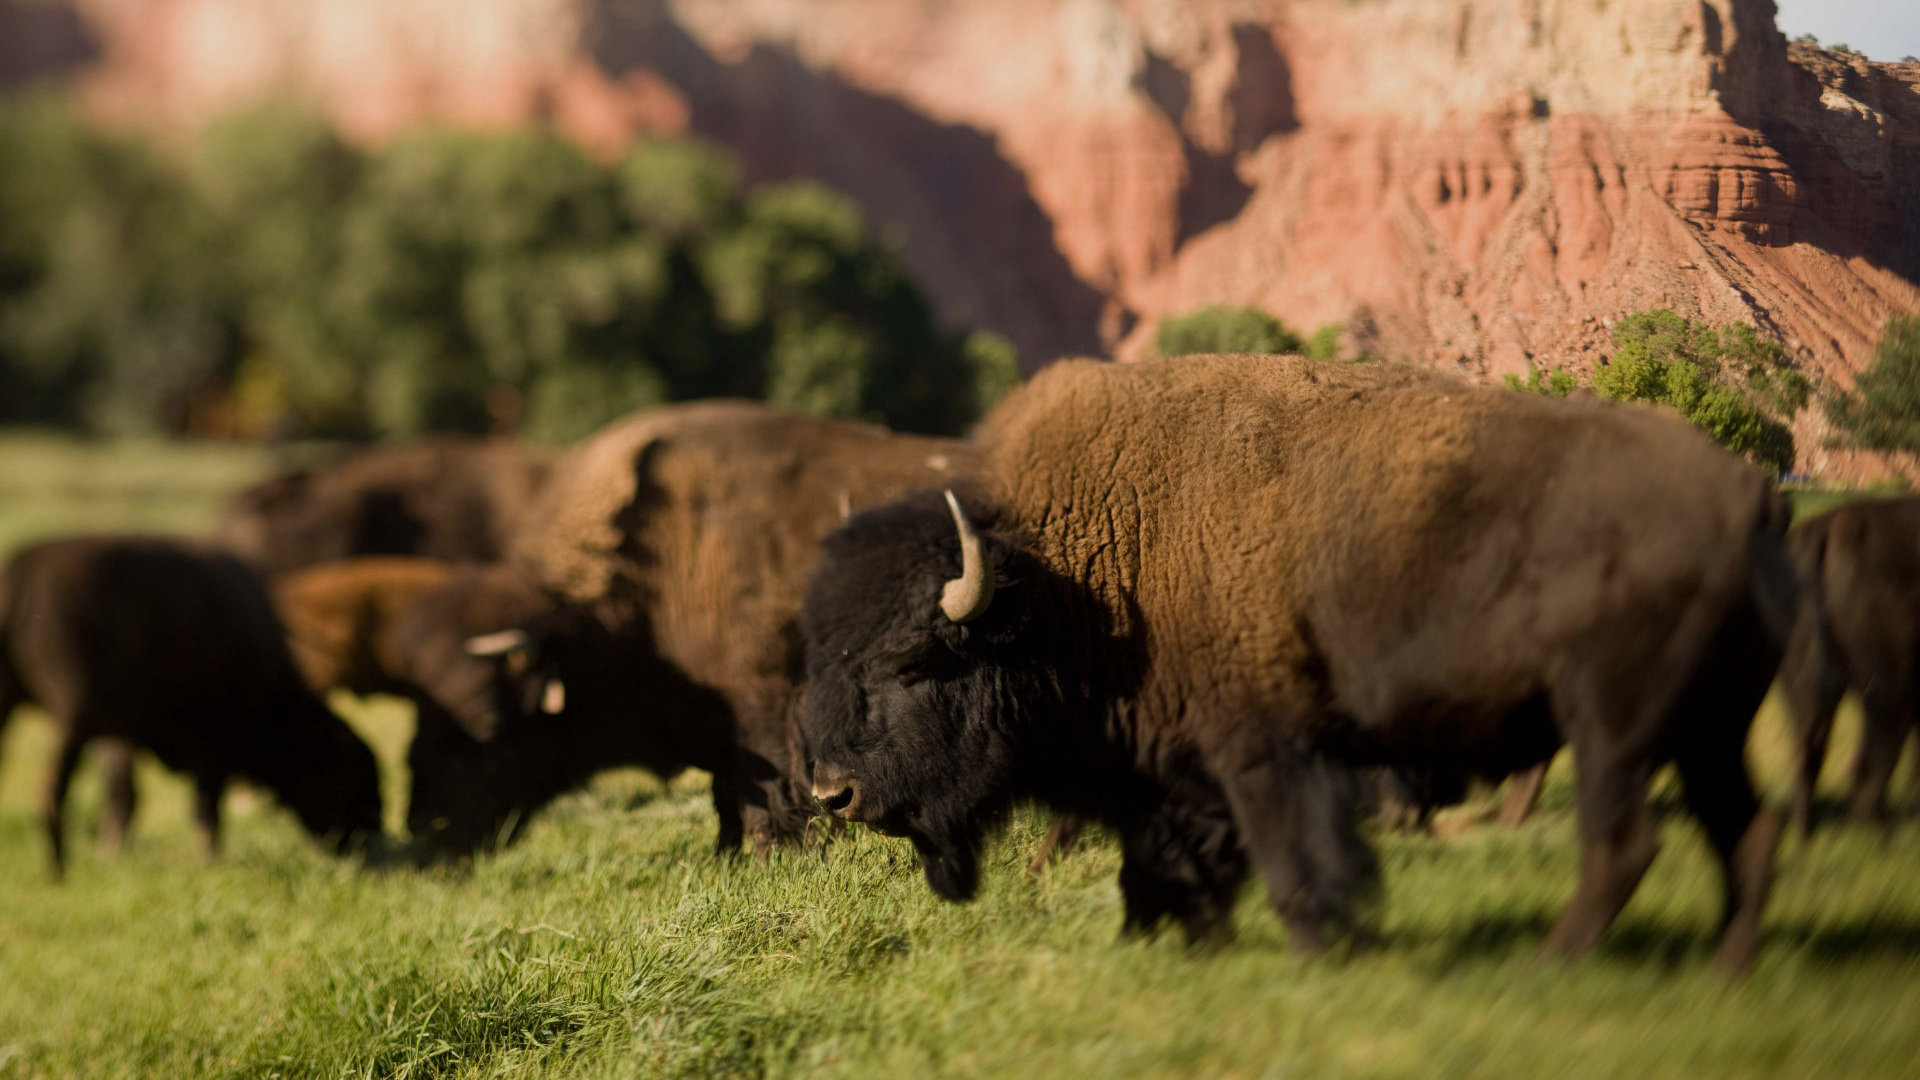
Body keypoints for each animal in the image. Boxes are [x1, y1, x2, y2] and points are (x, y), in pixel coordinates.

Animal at [0, 537, 384, 874]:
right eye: (346, 777)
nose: (368, 839)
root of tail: (20, 576)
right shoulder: (208, 747)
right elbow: (203, 809)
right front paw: (212, 862)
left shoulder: (120, 735)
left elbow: (125, 795)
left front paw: (113, 854)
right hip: (71, 721)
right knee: (52, 790)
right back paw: (58, 870)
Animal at [801, 355, 1797, 972]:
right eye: (820, 648)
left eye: (918, 661)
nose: (830, 794)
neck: (1073, 575)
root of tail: (1746, 490)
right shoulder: (1168, 775)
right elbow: (1163, 864)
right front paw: (1168, 944)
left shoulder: (1262, 752)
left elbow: (1291, 862)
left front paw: (1321, 951)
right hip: (1709, 731)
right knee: (1745, 831)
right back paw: (1727, 970)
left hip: (1614, 728)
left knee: (1624, 841)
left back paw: (1551, 965)